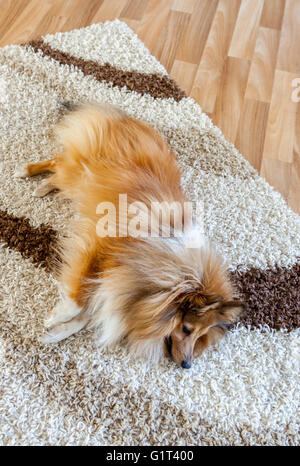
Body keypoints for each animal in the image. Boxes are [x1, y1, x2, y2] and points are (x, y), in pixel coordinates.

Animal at [16, 102, 244, 368]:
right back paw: (26, 171)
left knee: (58, 169)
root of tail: (127, 120)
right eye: (187, 329)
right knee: (57, 161)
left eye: (201, 335)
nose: (187, 365)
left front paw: (55, 333)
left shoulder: (118, 285)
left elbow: (87, 314)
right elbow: (77, 301)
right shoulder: (97, 251)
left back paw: (44, 186)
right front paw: (56, 318)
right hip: (79, 168)